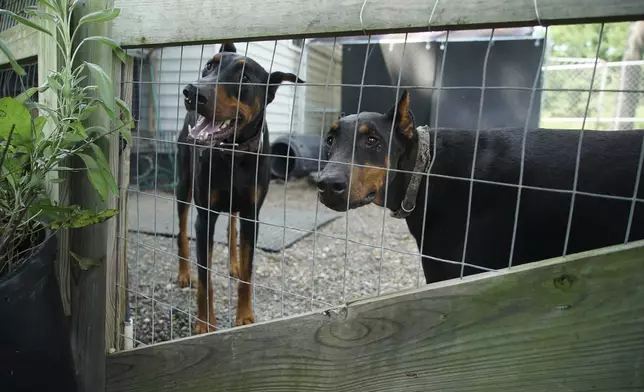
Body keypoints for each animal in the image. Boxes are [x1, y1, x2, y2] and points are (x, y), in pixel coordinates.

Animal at [174, 43, 304, 334]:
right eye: (209, 65)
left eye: (245, 78)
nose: (192, 92)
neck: (233, 153)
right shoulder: (205, 216)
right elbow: (205, 276)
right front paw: (204, 322)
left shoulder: (251, 215)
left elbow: (247, 271)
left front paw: (244, 316)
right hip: (183, 186)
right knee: (181, 231)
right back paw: (184, 274)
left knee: (232, 228)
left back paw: (232, 263)